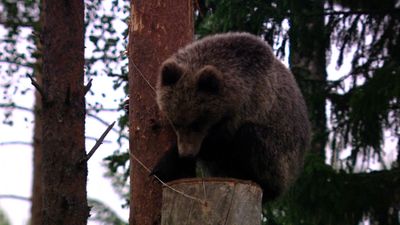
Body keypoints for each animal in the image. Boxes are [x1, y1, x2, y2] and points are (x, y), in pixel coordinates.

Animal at [152, 32, 310, 201]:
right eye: (175, 123)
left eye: (197, 123)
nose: (186, 153)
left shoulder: (253, 104)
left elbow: (217, 142)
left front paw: (166, 165)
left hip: (282, 160)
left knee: (251, 137)